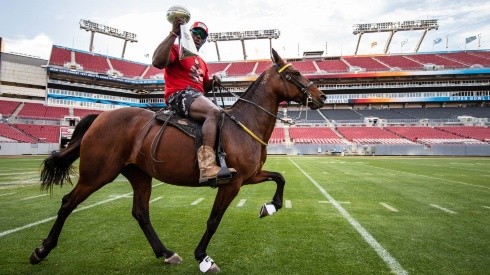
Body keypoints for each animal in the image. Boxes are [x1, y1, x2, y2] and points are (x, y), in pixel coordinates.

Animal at [29, 48, 326, 272]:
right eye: (294, 73)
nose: (322, 96)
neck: (243, 124)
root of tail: (100, 117)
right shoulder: (232, 183)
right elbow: (213, 220)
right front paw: (203, 257)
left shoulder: (249, 176)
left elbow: (280, 178)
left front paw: (270, 206)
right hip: (97, 173)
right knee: (68, 203)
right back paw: (41, 250)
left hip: (139, 174)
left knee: (140, 213)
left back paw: (166, 252)